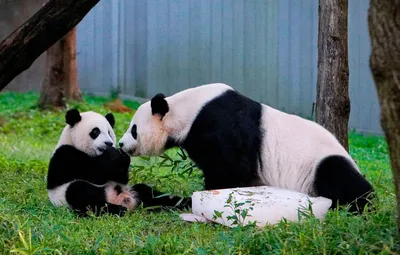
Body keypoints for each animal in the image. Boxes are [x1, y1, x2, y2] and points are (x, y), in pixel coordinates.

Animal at [47, 108, 191, 216]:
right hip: (66, 196)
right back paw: (117, 210)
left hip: (132, 190)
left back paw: (185, 202)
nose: (108, 143)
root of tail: (119, 199)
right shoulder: (66, 154)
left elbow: (121, 177)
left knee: (151, 194)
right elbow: (93, 173)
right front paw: (113, 155)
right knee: (80, 192)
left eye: (109, 132)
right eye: (95, 131)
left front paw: (122, 155)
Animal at [119, 83, 376, 213]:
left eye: (133, 129)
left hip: (321, 161)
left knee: (341, 178)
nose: (121, 144)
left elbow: (231, 170)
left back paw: (358, 206)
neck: (186, 109)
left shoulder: (218, 125)